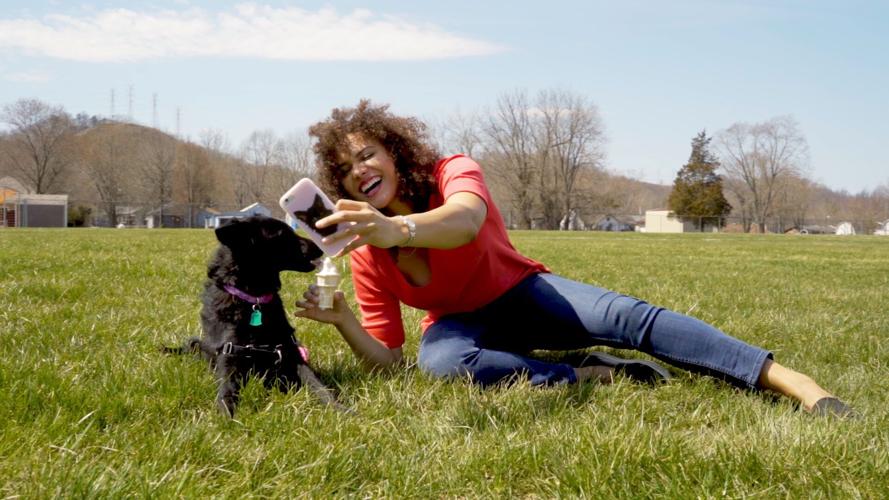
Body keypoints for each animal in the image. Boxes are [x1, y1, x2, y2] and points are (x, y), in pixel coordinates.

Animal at [165, 217, 346, 416]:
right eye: (282, 234)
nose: (320, 247)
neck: (254, 300)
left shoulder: (290, 352)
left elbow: (318, 385)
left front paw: (339, 408)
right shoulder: (229, 353)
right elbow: (227, 390)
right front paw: (227, 415)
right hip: (198, 344)